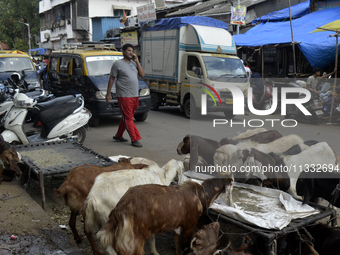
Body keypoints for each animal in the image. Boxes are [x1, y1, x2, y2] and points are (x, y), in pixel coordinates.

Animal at [97, 177, 232, 255]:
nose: (230, 179)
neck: (202, 195)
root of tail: (120, 207)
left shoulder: (178, 226)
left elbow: (178, 245)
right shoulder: (190, 225)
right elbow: (185, 245)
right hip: (136, 237)